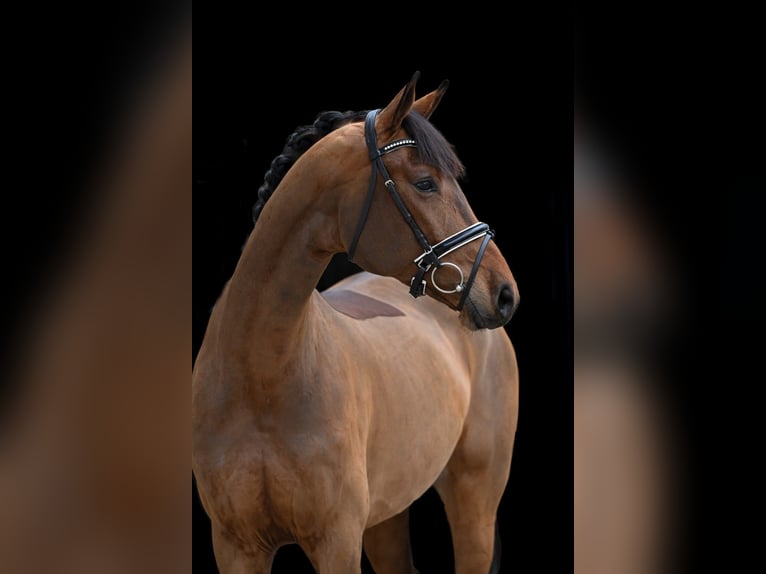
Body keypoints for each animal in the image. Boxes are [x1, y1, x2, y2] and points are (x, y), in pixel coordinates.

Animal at [192, 71, 520, 574]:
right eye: (425, 183)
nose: (504, 293)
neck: (261, 377)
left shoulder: (336, 542)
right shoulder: (236, 546)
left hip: (475, 503)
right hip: (387, 517)